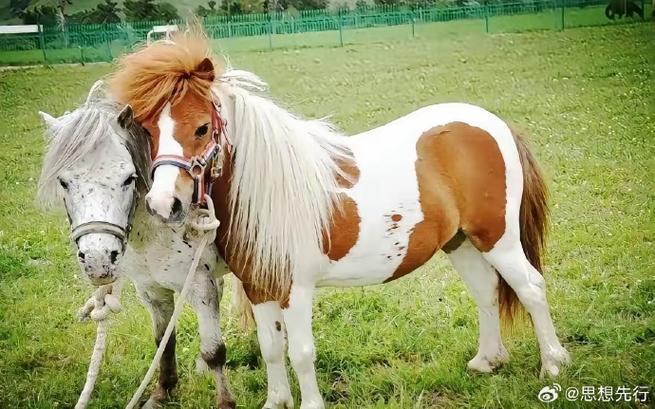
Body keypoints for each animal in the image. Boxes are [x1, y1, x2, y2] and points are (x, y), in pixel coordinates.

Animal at [37, 82, 236, 409]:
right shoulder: (152, 291)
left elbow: (214, 350)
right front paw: (162, 393)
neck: (156, 231)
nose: (98, 260)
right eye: (64, 182)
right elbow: (164, 341)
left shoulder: (199, 286)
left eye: (129, 178)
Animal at [108, 29, 571, 409]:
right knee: (486, 291)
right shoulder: (259, 288)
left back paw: (552, 365)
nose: (164, 204)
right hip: (460, 241)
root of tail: (495, 124)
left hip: (498, 238)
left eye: (203, 128)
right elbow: (271, 348)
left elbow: (301, 352)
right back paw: (487, 361)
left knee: (530, 288)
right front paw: (276, 402)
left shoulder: (294, 289)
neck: (269, 188)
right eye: (148, 129)